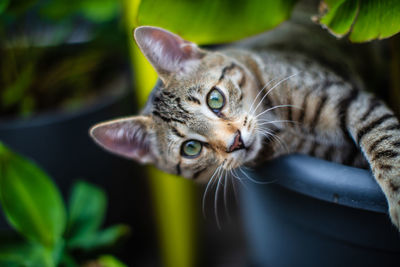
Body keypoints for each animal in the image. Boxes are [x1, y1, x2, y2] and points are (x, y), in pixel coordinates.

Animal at [89, 25, 400, 230]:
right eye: (191, 148)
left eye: (215, 99)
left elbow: (384, 139)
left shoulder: (349, 99)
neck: (282, 127)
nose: (235, 141)